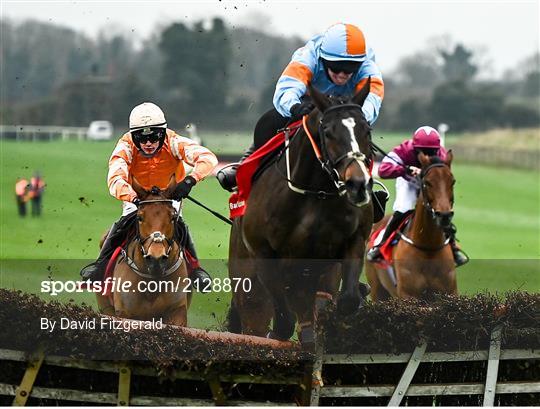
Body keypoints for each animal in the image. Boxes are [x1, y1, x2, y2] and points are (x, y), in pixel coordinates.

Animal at [226, 82, 374, 344]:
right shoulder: (265, 254)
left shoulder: (353, 240)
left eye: (366, 130)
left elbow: (346, 300)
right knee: (255, 319)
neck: (316, 193)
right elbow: (284, 322)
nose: (357, 184)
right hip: (247, 285)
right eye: (328, 132)